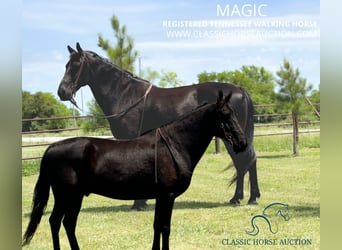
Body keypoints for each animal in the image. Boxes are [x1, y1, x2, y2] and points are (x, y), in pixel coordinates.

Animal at [23, 92, 248, 250]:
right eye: (225, 116)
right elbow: (165, 227)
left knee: (67, 223)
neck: (175, 145)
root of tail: (52, 147)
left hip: (74, 196)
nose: (242, 143)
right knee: (56, 222)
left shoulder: (160, 196)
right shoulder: (168, 196)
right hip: (65, 195)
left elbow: (157, 225)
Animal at [56, 43, 260, 209]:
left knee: (242, 162)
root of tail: (240, 90)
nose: (62, 92)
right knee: (249, 160)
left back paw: (239, 198)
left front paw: (138, 203)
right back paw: (251, 198)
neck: (125, 94)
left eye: (76, 66)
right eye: (66, 65)